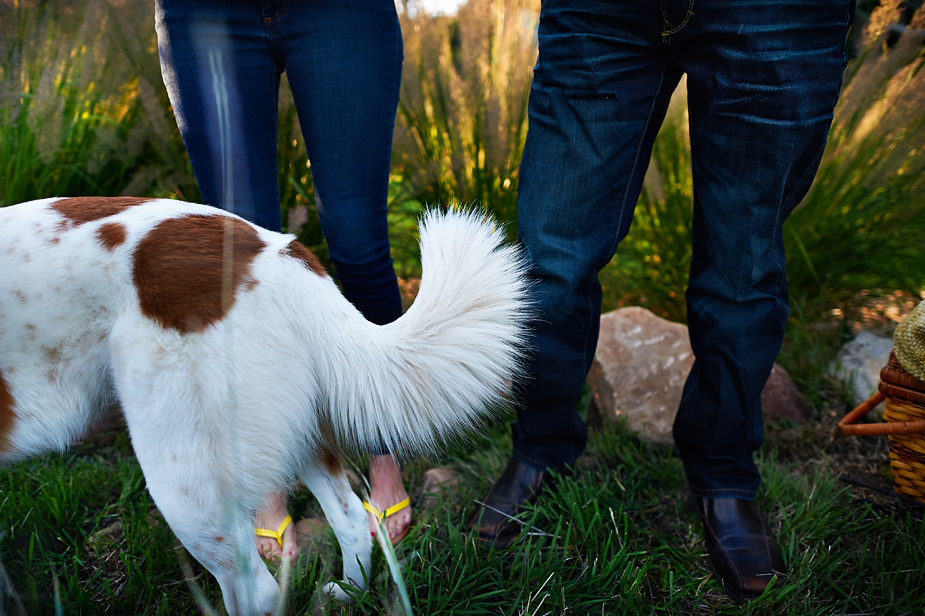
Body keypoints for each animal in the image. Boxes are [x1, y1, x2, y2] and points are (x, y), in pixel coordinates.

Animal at [0, 199, 532, 616]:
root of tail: (275, 252)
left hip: (184, 480)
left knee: (258, 592)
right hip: (296, 431)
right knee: (352, 518)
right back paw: (350, 592)